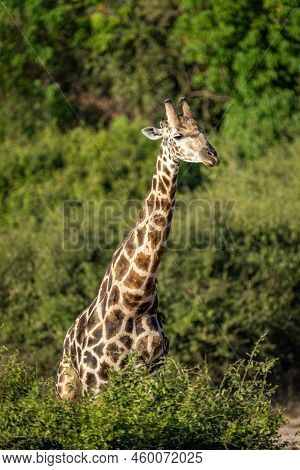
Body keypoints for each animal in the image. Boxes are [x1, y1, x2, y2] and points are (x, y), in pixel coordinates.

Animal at [56, 97, 220, 398]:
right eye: (177, 135)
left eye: (201, 129)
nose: (212, 155)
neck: (134, 300)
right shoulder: (97, 385)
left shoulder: (152, 374)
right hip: (67, 388)